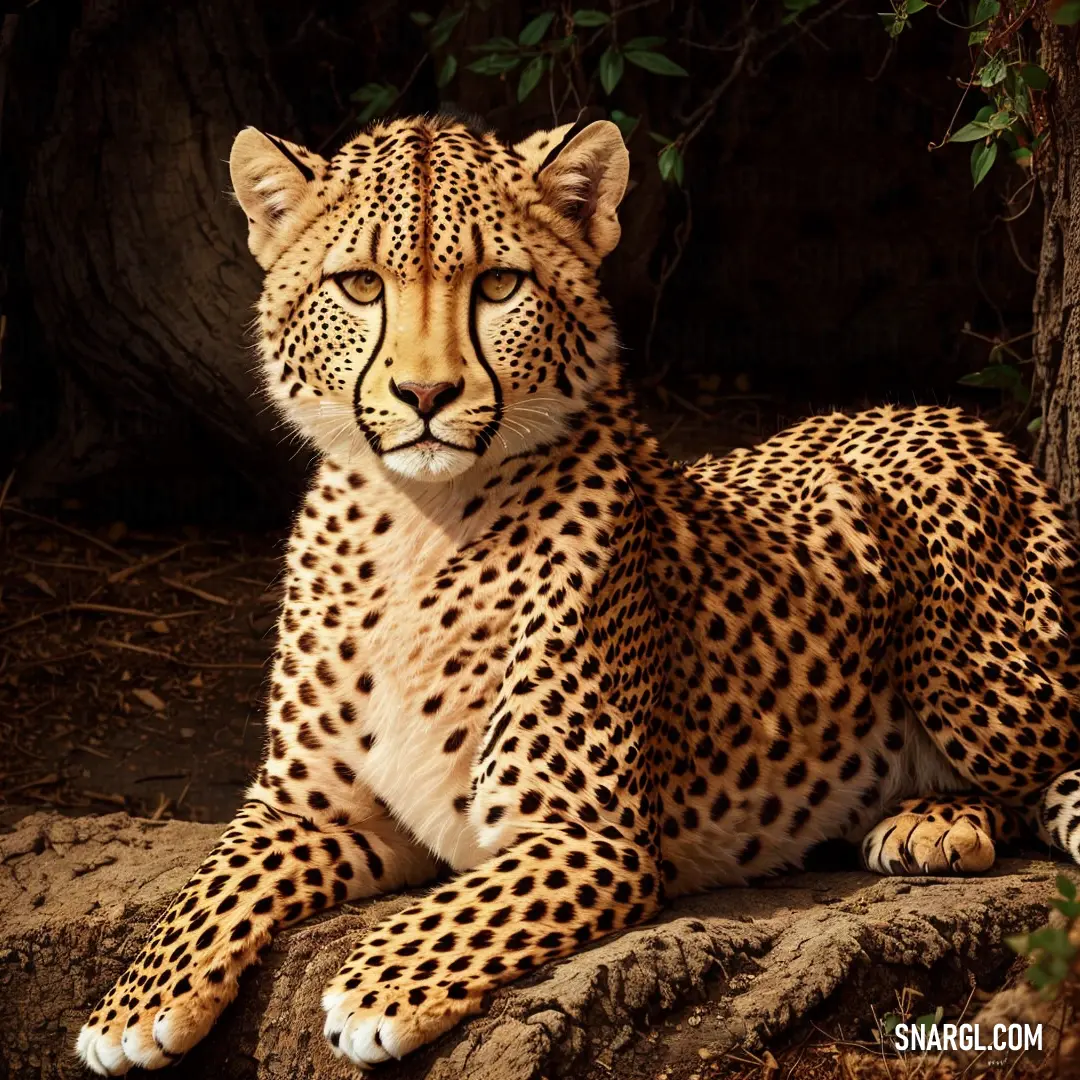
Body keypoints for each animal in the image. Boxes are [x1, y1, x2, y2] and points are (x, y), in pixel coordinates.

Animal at [76, 109, 1080, 1071]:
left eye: (497, 285)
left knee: (1047, 763)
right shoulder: (304, 807)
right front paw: (132, 1008)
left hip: (972, 656)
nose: (426, 395)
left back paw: (942, 818)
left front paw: (377, 989)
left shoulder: (585, 833)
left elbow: (463, 909)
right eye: (360, 285)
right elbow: (212, 883)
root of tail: (936, 411)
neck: (414, 519)